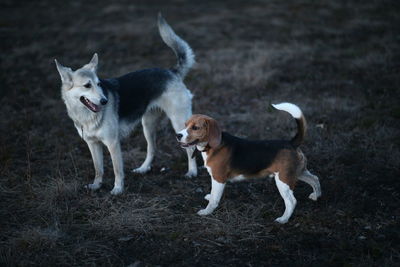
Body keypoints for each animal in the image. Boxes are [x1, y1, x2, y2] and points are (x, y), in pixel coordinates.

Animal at [54, 14, 198, 195]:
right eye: (87, 85)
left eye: (99, 84)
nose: (105, 101)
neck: (86, 115)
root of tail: (171, 72)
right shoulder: (92, 144)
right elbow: (98, 168)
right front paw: (96, 185)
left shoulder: (112, 143)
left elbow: (117, 169)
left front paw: (117, 189)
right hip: (147, 125)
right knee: (152, 148)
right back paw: (143, 169)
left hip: (178, 122)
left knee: (190, 148)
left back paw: (192, 172)